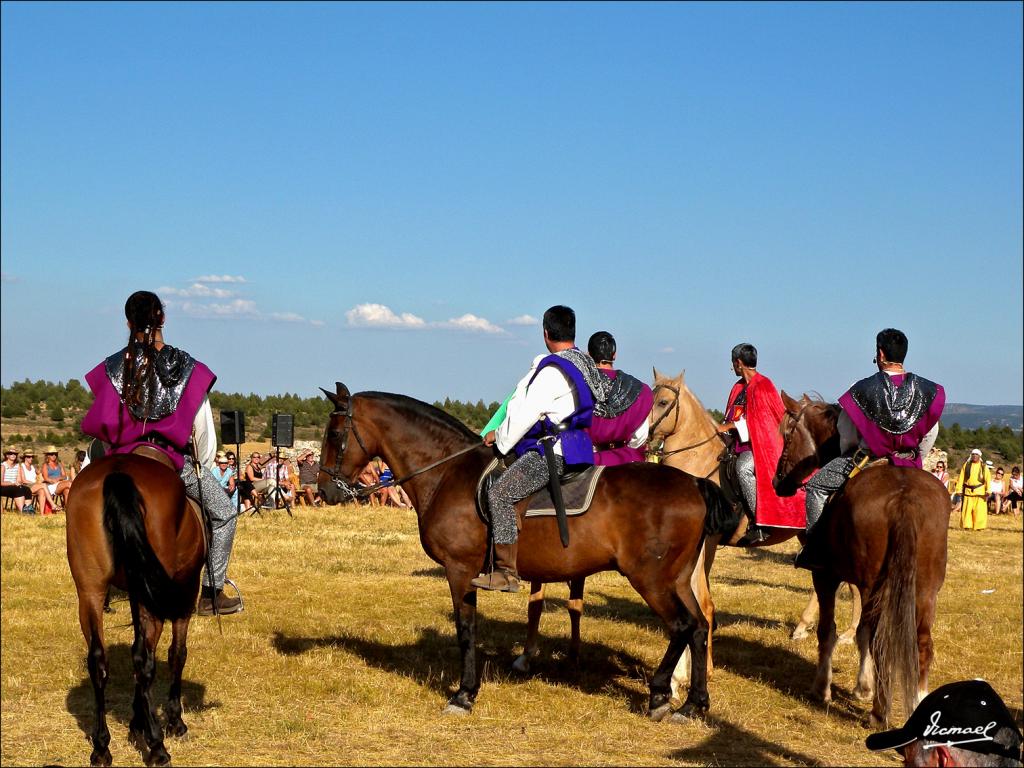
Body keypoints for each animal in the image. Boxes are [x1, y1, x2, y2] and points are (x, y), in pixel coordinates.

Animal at [66, 454, 205, 765]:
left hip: (91, 589)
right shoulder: (186, 590)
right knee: (145, 661)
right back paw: (157, 746)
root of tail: (119, 472)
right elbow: (177, 653)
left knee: (98, 660)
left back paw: (101, 746)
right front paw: (173, 721)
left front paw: (137, 720)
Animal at [315, 385, 733, 720]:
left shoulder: (459, 571)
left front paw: (464, 694)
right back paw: (693, 703)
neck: (449, 473)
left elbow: (466, 630)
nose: (324, 491)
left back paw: (661, 693)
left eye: (335, 433)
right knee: (699, 626)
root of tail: (695, 483)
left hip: (651, 579)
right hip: (678, 579)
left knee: (682, 626)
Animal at [774, 393, 950, 724]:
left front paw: (823, 687)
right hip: (924, 591)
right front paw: (862, 686)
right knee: (921, 644)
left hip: (873, 586)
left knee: (880, 642)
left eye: (788, 436)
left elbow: (829, 630)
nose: (778, 481)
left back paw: (879, 713)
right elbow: (861, 633)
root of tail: (905, 498)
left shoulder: (826, 576)